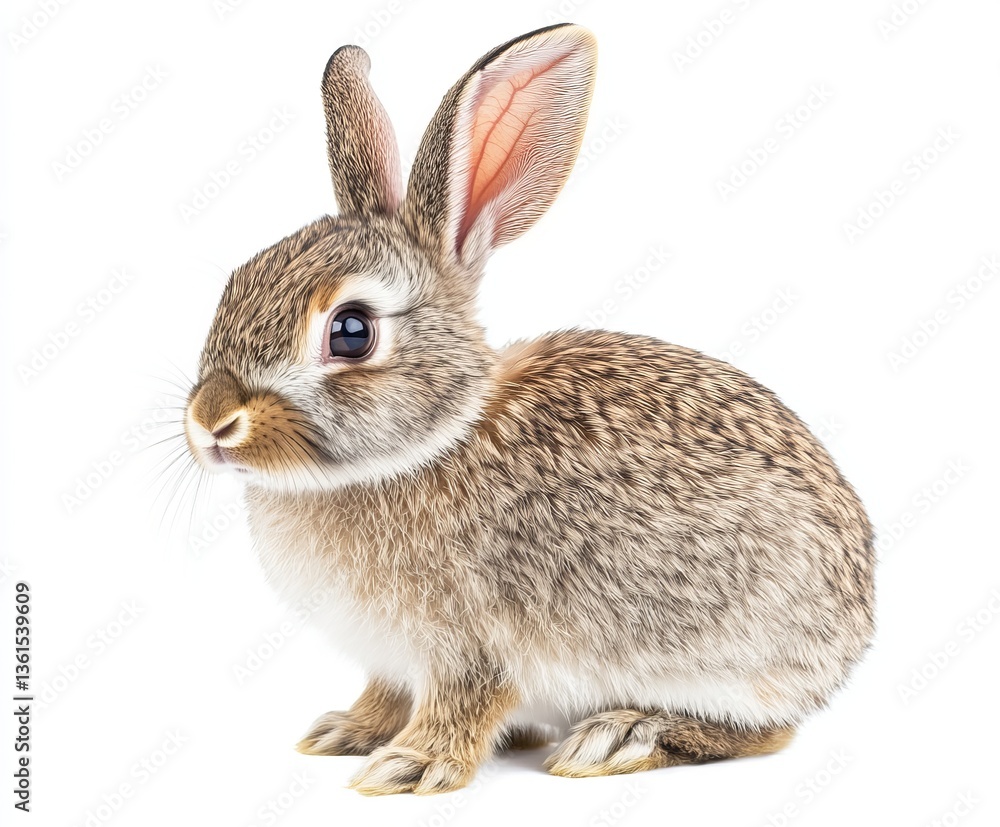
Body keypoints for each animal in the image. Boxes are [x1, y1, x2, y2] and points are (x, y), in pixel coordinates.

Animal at [183, 23, 875, 795]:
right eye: (235, 284)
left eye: (352, 331)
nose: (210, 422)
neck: (430, 441)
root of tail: (855, 625)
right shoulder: (392, 658)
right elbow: (386, 693)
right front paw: (346, 732)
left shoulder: (476, 642)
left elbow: (464, 702)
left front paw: (409, 765)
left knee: (766, 730)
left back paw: (621, 736)